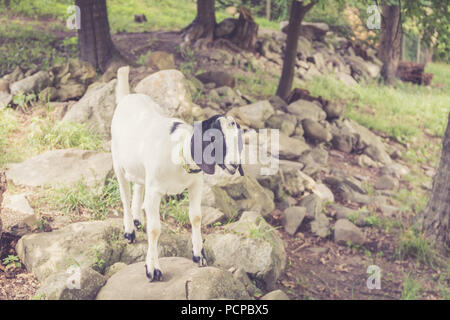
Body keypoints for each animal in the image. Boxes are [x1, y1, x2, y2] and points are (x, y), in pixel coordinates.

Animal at [111, 67, 244, 280]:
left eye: (237, 140)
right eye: (214, 138)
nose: (234, 164)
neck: (179, 152)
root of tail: (127, 97)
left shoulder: (196, 184)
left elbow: (196, 217)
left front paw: (199, 255)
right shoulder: (155, 190)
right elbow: (155, 229)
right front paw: (152, 269)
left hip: (140, 170)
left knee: (138, 186)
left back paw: (138, 218)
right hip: (118, 163)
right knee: (125, 195)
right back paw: (130, 230)